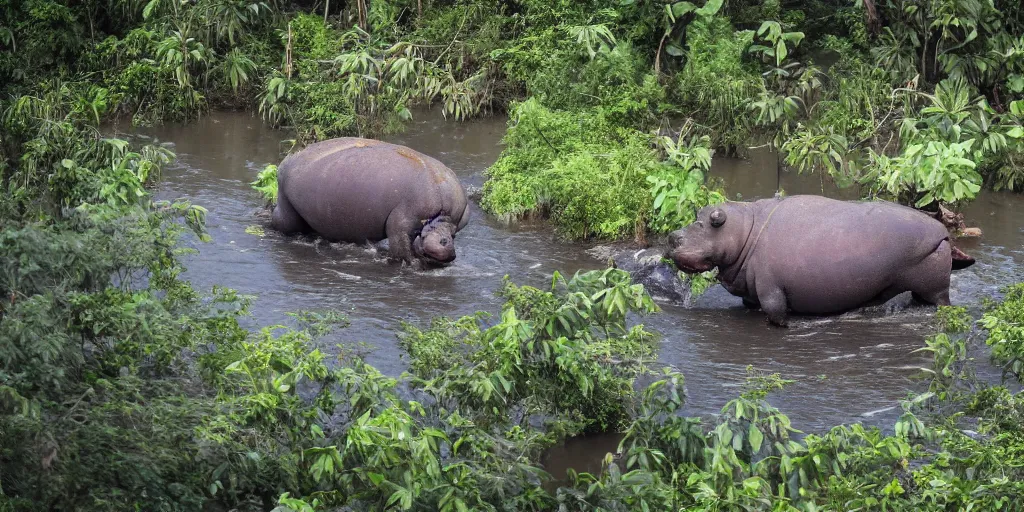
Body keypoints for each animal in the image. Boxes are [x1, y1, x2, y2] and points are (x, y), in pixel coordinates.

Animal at [268, 138, 468, 266]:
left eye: (454, 234)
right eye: (444, 238)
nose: (446, 245)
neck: (440, 217)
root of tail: (286, 162)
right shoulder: (401, 225)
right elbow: (402, 251)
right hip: (287, 209)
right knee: (279, 219)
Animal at [663, 193, 974, 325]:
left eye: (712, 221)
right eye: (698, 215)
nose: (673, 237)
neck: (744, 231)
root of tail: (943, 233)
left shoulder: (771, 289)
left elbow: (776, 314)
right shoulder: (751, 293)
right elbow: (750, 304)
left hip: (935, 289)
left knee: (941, 301)